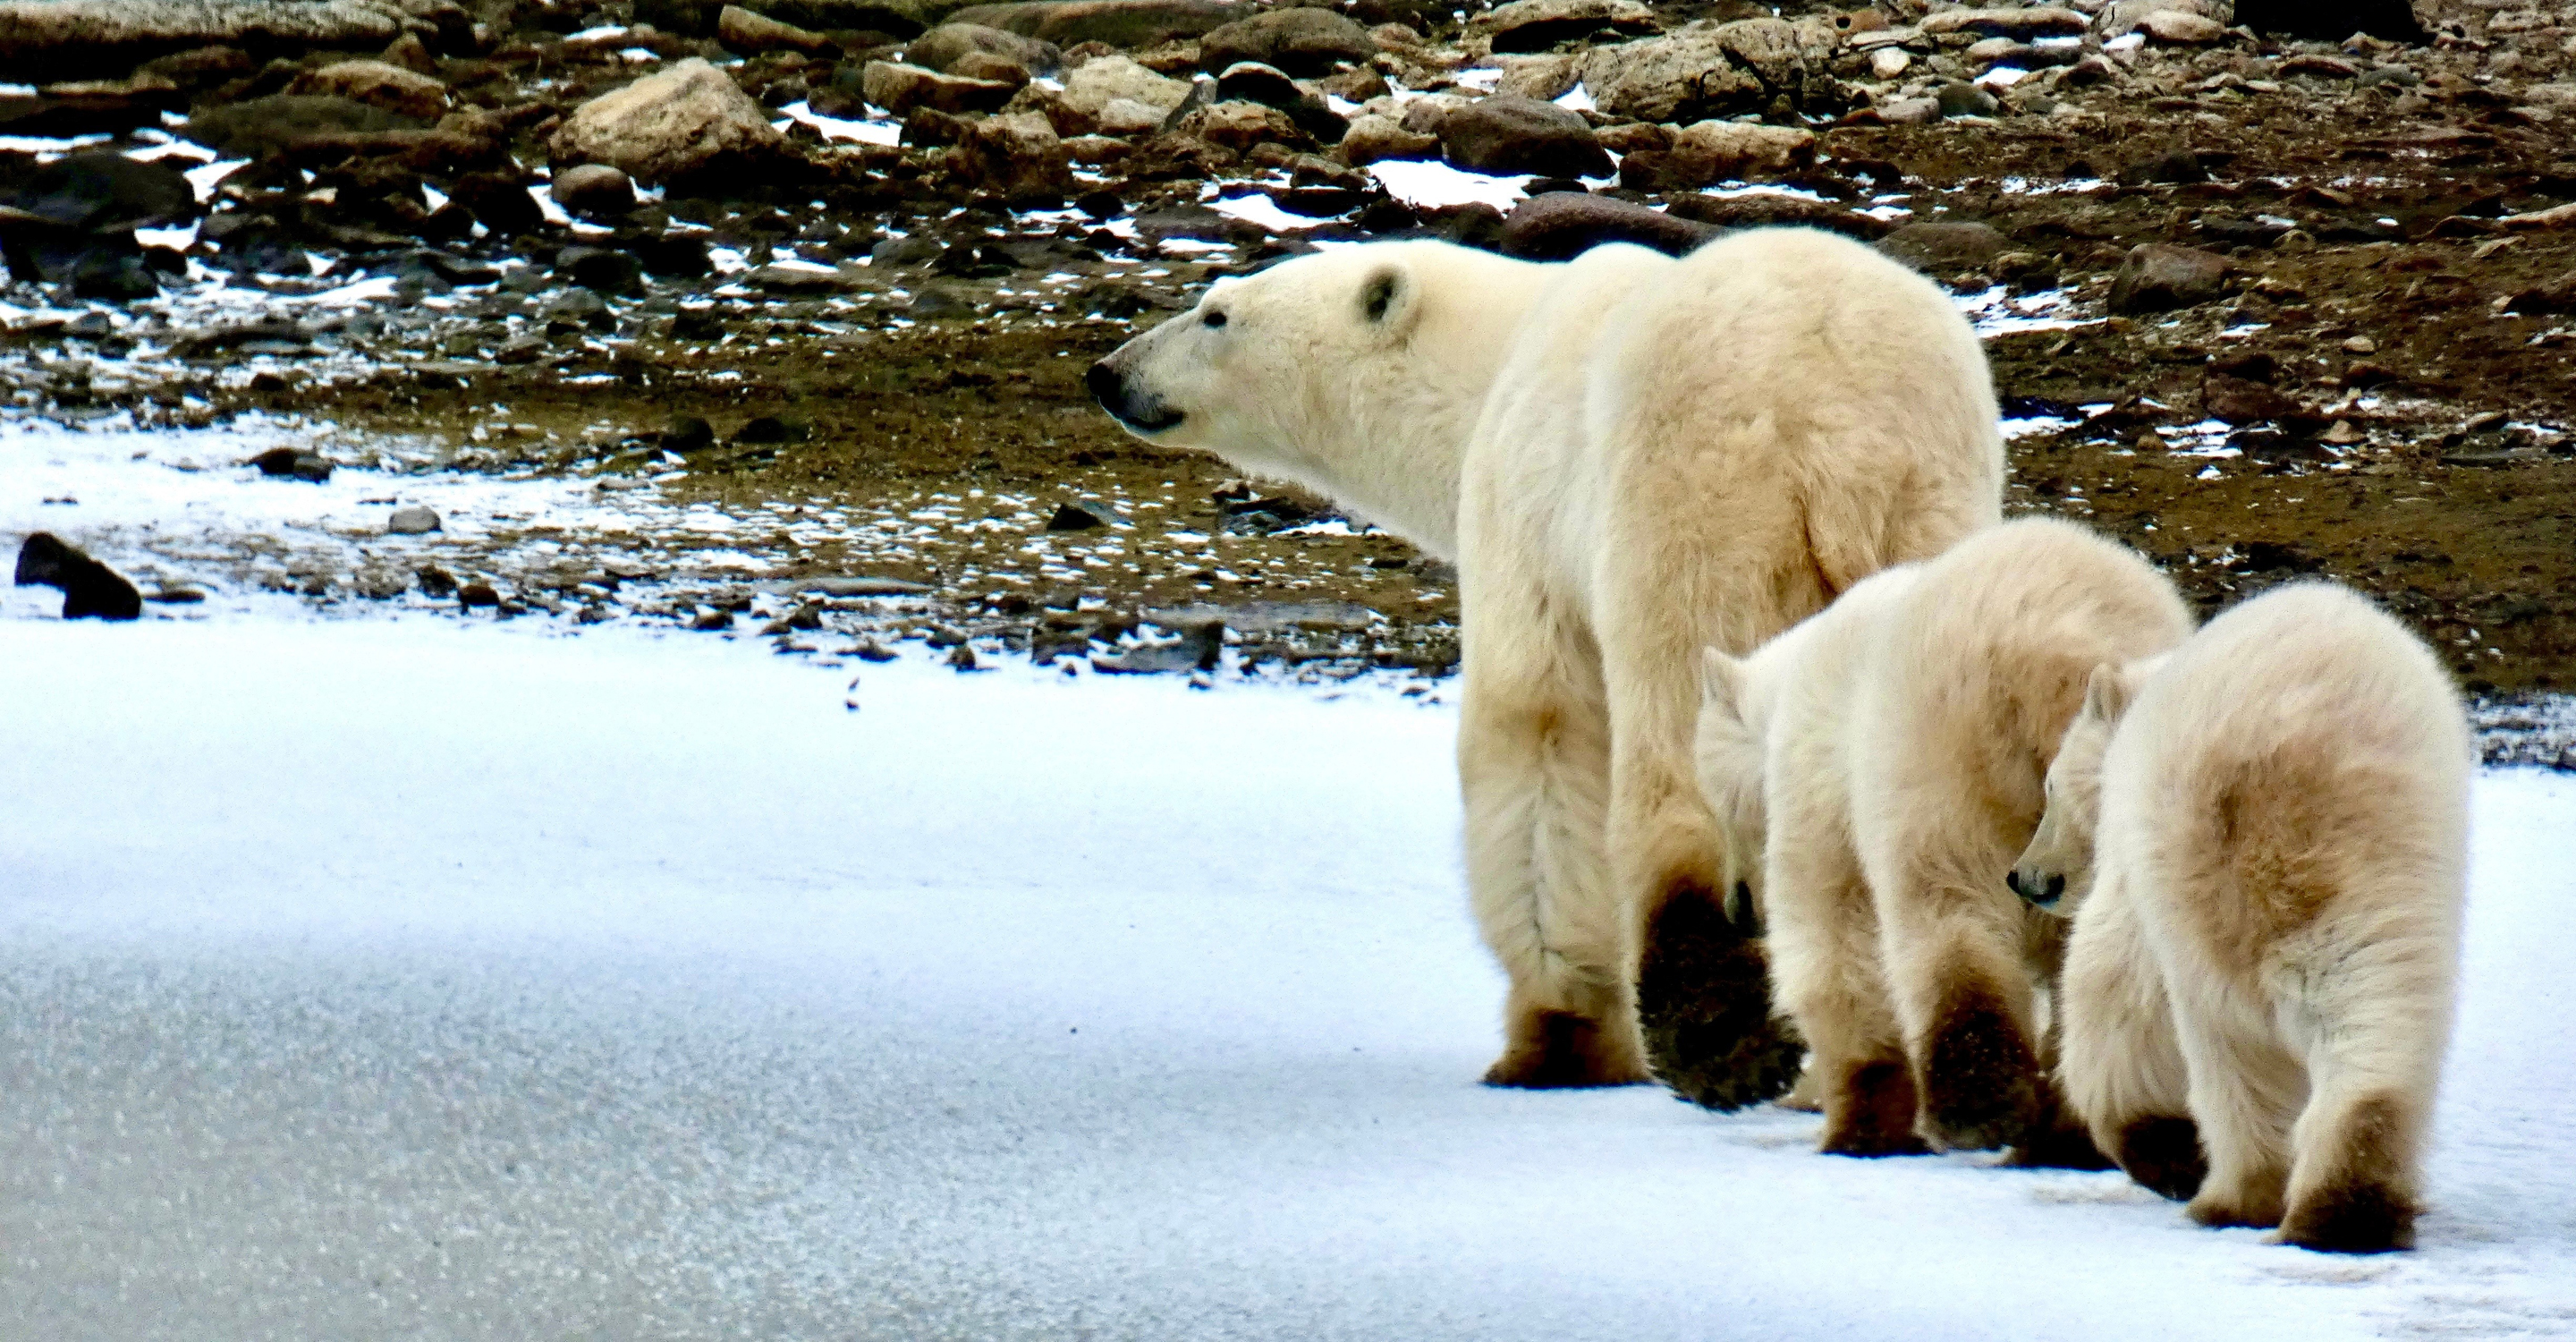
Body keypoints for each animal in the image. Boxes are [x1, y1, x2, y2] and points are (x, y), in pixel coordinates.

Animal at [1087, 225, 2009, 1091]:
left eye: (1218, 312)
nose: (1108, 372)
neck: (1492, 359)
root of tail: (1842, 413)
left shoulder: (1525, 504)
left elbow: (1540, 728)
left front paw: (1561, 1033)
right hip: (1933, 501)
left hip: (1696, 494)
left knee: (1679, 723)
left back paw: (1708, 1027)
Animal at [1690, 517, 2194, 1153]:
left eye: (1719, 805)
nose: (1739, 908)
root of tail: (2057, 652)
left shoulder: (1819, 779)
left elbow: (1834, 934)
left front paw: (1861, 1119)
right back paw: (2065, 1129)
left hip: (1941, 747)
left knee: (1946, 913)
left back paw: (1977, 1106)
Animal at [2009, 579, 2472, 1252]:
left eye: (2048, 785)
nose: (2028, 879)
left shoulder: (2134, 850)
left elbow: (2111, 977)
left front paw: (2149, 1137)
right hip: (2390, 874)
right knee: (2374, 1020)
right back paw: (2347, 1207)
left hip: (2199, 863)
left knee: (2225, 1040)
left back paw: (2231, 1194)